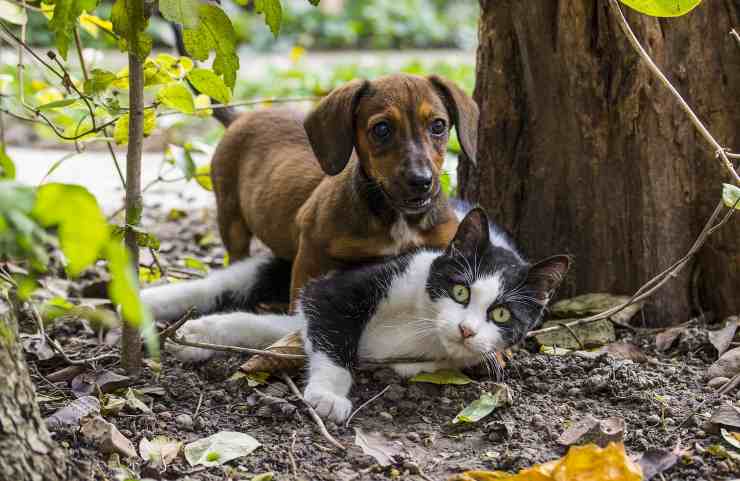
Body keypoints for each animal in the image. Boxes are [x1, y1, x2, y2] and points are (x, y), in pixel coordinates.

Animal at [145, 204, 572, 422]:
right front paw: (328, 396)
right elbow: (332, 332)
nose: (466, 329)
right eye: (460, 290)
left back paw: (192, 335)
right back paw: (148, 305)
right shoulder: (343, 287)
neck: (423, 324)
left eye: (501, 316)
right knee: (228, 281)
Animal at [211, 73, 476, 302]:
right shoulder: (311, 253)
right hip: (231, 219)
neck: (397, 217)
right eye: (381, 129)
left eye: (438, 125)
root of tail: (240, 118)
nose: (421, 181)